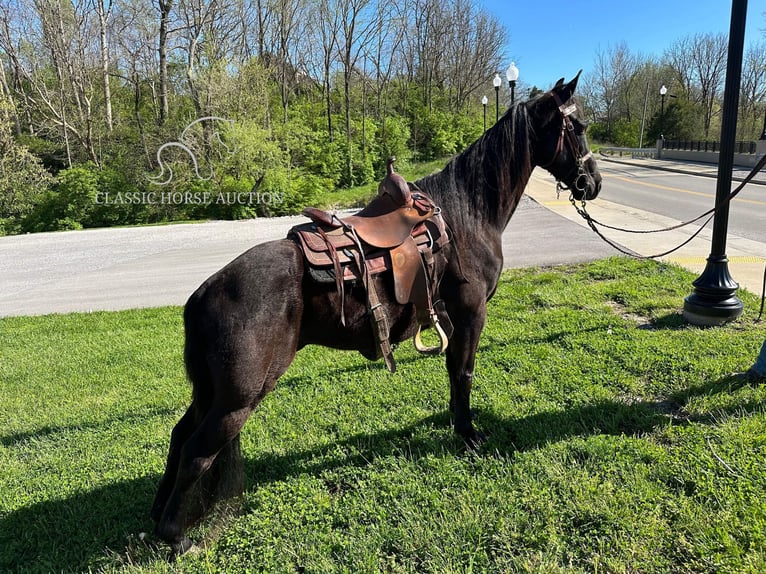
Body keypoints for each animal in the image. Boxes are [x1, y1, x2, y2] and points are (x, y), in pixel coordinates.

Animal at [153, 74, 604, 556]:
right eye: (577, 127)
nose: (593, 183)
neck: (467, 216)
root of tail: (202, 295)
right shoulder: (471, 314)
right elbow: (464, 373)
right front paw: (470, 436)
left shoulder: (450, 320)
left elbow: (453, 373)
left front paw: (459, 427)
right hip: (238, 398)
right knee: (197, 453)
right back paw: (176, 536)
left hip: (211, 393)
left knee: (179, 436)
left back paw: (155, 516)